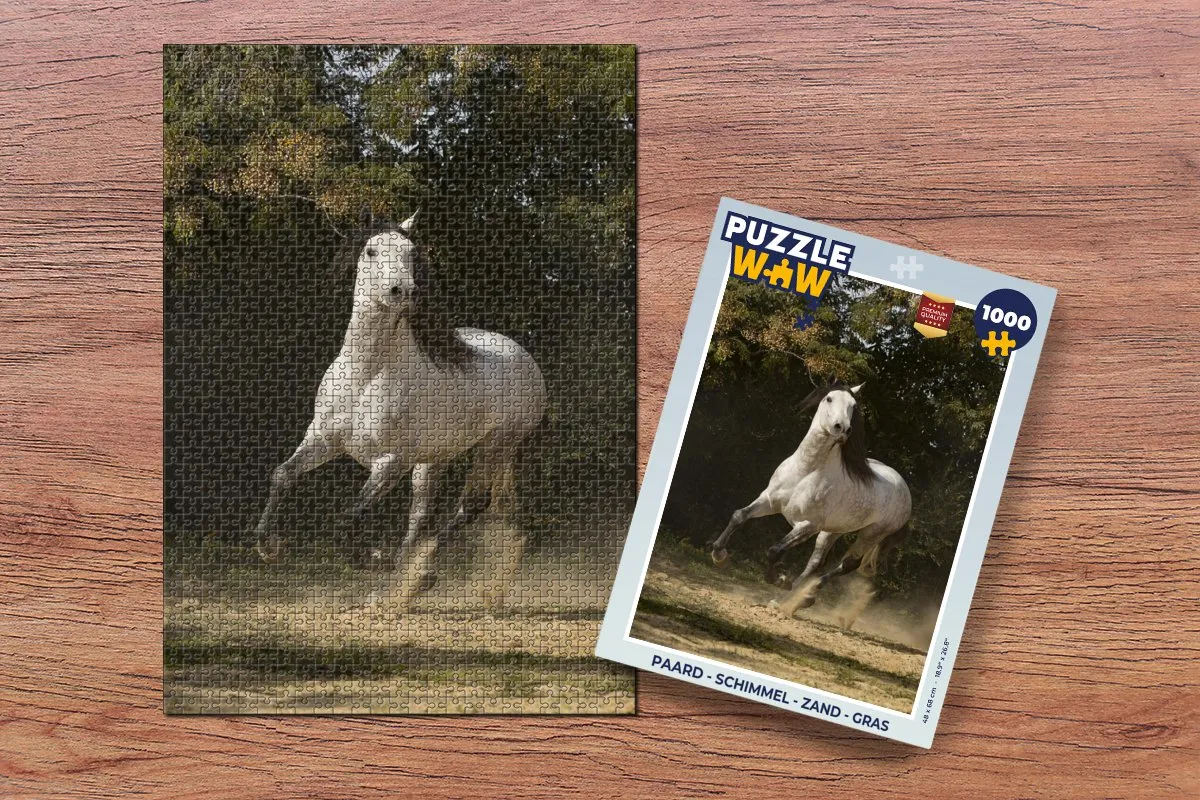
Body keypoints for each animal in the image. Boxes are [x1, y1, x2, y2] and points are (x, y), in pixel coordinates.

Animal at [251, 212, 547, 612]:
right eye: (371, 251)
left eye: (411, 252)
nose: (402, 291)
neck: (365, 374)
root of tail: (523, 357)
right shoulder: (323, 440)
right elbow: (282, 475)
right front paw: (270, 547)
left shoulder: (391, 461)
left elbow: (351, 514)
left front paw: (371, 559)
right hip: (434, 459)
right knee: (422, 513)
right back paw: (402, 582)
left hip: (495, 446)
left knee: (470, 506)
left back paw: (413, 575)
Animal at [708, 380, 911, 621]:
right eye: (829, 399)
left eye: (853, 406)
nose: (843, 429)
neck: (805, 470)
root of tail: (904, 489)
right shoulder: (769, 501)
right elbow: (739, 516)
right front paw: (719, 556)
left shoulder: (808, 525)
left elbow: (775, 550)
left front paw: (779, 579)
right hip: (833, 531)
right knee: (816, 562)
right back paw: (788, 599)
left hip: (871, 534)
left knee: (848, 564)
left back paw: (803, 596)